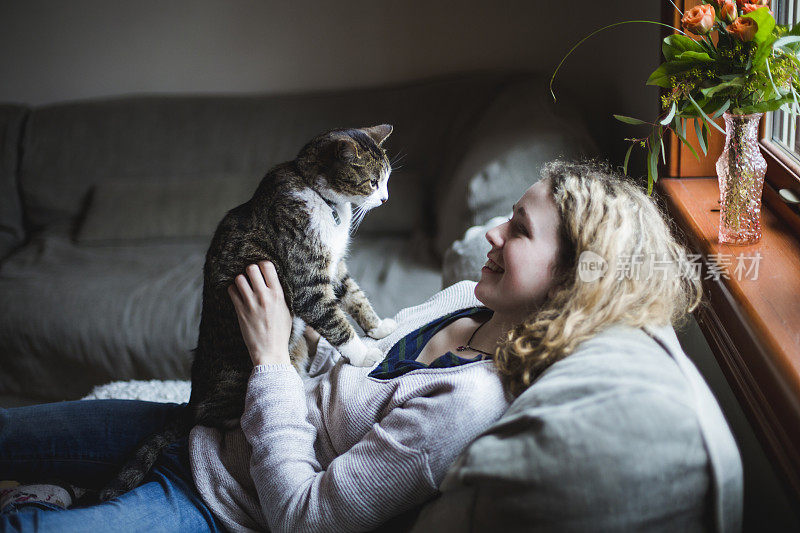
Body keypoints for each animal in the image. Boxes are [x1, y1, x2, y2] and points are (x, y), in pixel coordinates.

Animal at [99, 124, 396, 498]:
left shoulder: (334, 270)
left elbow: (355, 297)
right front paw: (363, 354)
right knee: (220, 417)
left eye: (387, 180)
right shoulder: (308, 282)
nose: (385, 198)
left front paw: (379, 328)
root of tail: (194, 400)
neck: (325, 201)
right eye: (372, 182)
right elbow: (335, 320)